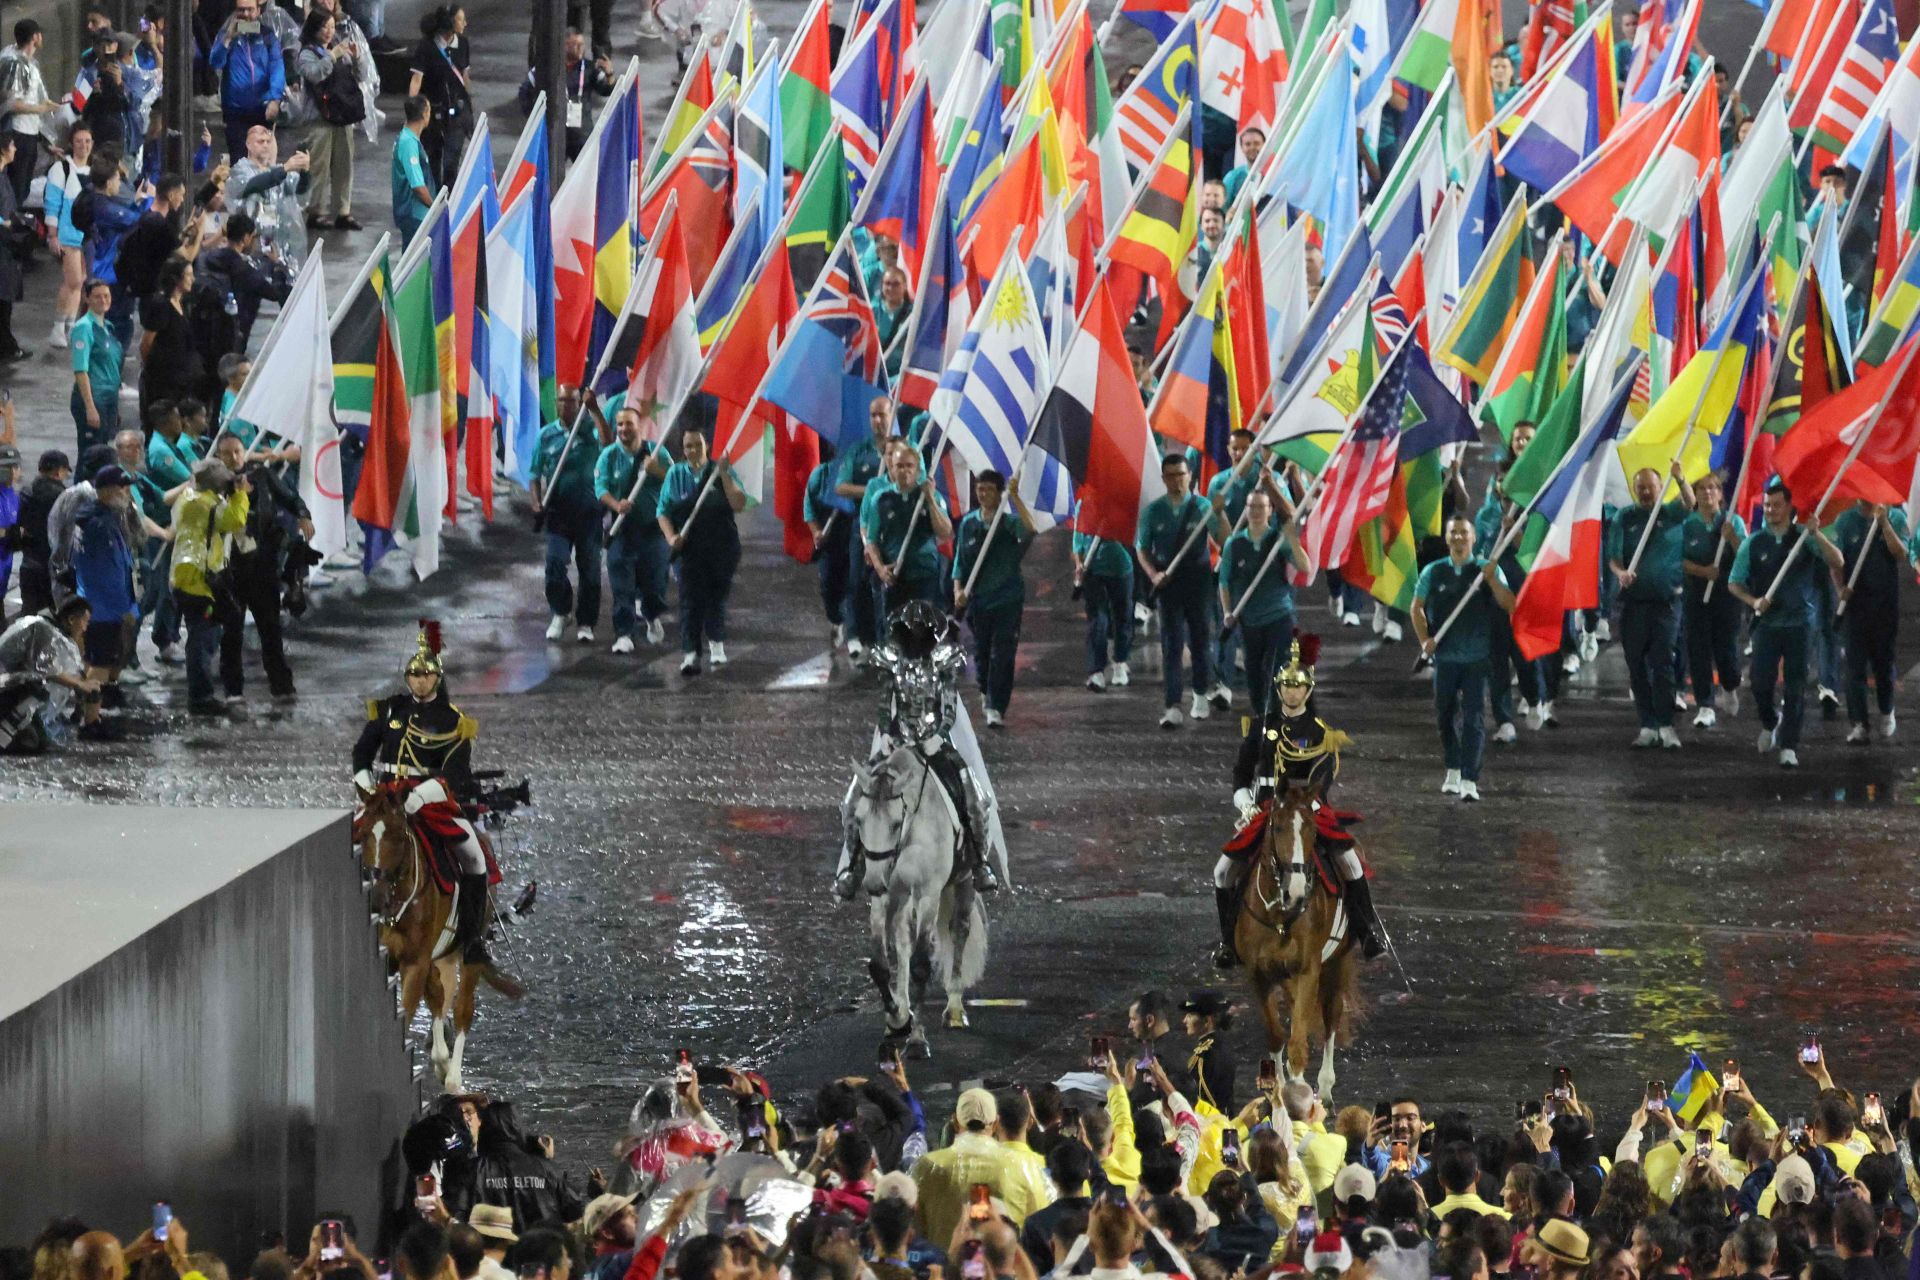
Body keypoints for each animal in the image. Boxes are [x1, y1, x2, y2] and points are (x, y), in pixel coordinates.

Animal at [357, 790, 522, 1090]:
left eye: (398, 836)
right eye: (363, 834)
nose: (377, 897)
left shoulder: (415, 964)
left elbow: (406, 1012)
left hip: (469, 951)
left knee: (462, 1007)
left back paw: (454, 1076)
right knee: (437, 995)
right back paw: (441, 1059)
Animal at [848, 740, 990, 1059]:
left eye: (895, 823)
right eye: (859, 820)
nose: (872, 883)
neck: (910, 831)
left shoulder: (927, 893)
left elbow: (922, 965)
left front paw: (916, 1040)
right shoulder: (887, 895)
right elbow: (880, 964)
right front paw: (897, 1018)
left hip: (964, 881)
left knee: (959, 931)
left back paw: (954, 1009)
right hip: (902, 898)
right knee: (903, 944)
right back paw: (903, 1007)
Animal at [1228, 775, 1367, 1097]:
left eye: (1313, 830)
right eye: (1277, 827)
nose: (1297, 892)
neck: (1279, 914)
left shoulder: (1308, 970)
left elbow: (1298, 1042)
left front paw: (1300, 1093)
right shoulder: (1258, 975)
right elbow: (1277, 1035)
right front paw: (1278, 1090)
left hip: (1335, 965)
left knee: (1330, 1017)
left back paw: (1325, 1088)